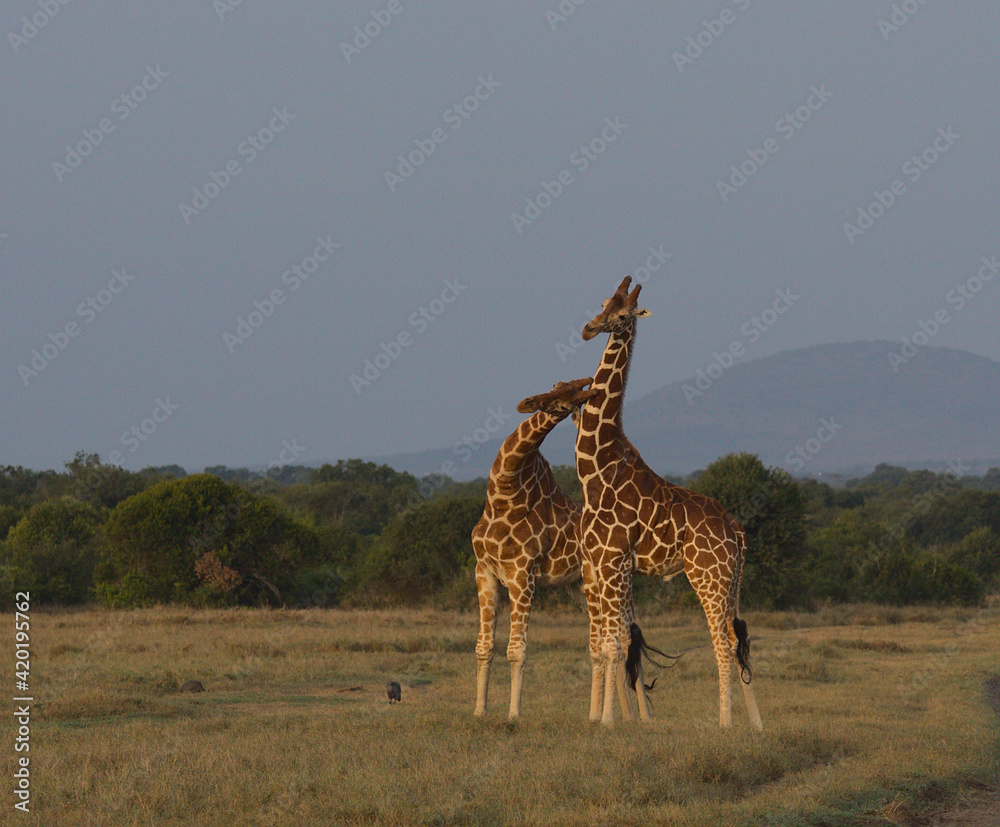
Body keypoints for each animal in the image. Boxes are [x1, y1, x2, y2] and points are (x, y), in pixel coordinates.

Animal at [472, 378, 649, 722]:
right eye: (556, 388)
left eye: (570, 397)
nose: (530, 401)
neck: (503, 496)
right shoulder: (484, 571)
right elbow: (484, 647)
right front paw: (478, 712)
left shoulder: (522, 574)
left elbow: (516, 651)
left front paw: (513, 716)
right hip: (585, 588)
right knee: (601, 648)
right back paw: (602, 717)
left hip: (614, 584)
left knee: (623, 640)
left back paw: (640, 718)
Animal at [576, 276, 763, 730]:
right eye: (604, 303)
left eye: (624, 314)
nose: (589, 329)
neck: (596, 470)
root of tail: (737, 530)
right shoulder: (602, 566)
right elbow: (608, 644)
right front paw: (604, 719)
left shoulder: (613, 563)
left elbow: (613, 645)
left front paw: (608, 722)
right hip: (733, 581)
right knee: (739, 639)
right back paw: (757, 725)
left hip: (707, 577)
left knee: (721, 643)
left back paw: (725, 724)